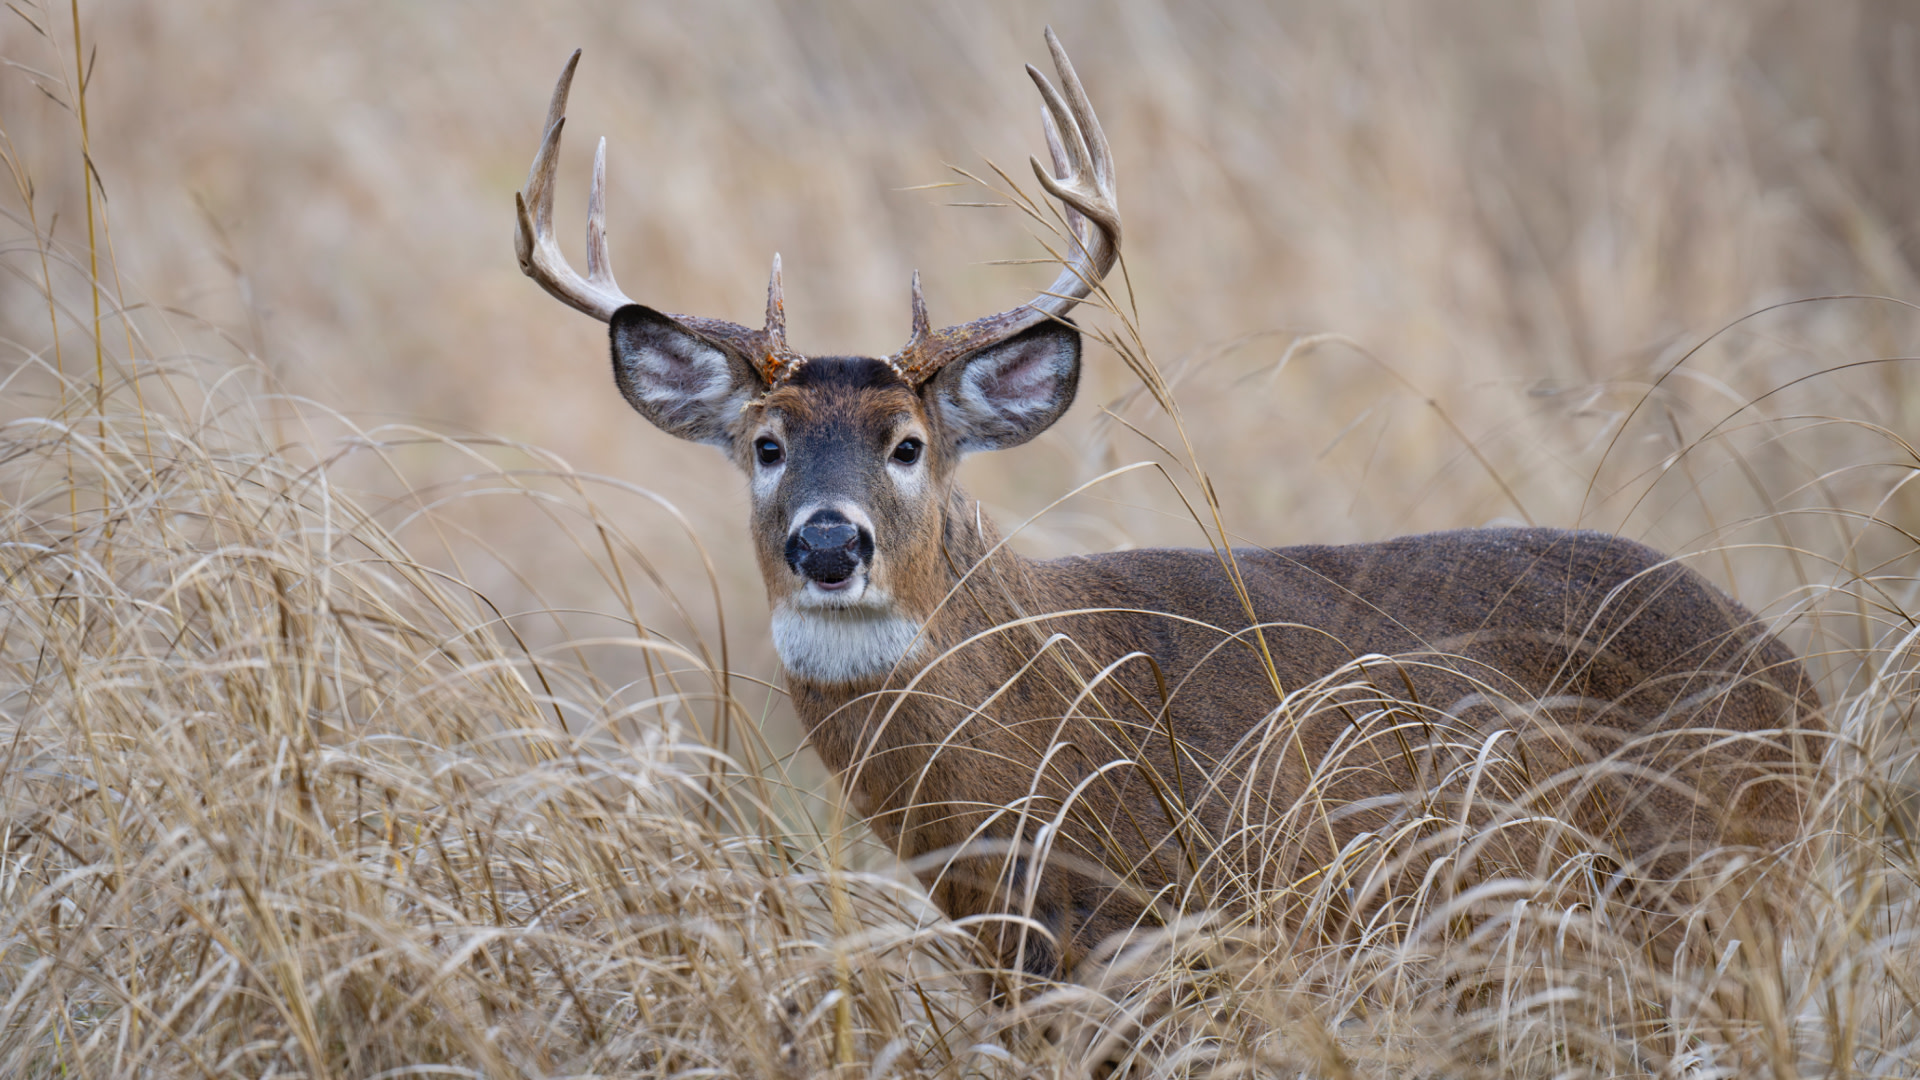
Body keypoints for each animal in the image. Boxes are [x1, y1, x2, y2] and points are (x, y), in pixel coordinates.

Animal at [514, 33, 1823, 981]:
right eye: (766, 445)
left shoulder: (1219, 916)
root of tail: (1803, 691)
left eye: (909, 445)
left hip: (1711, 889)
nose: (828, 542)